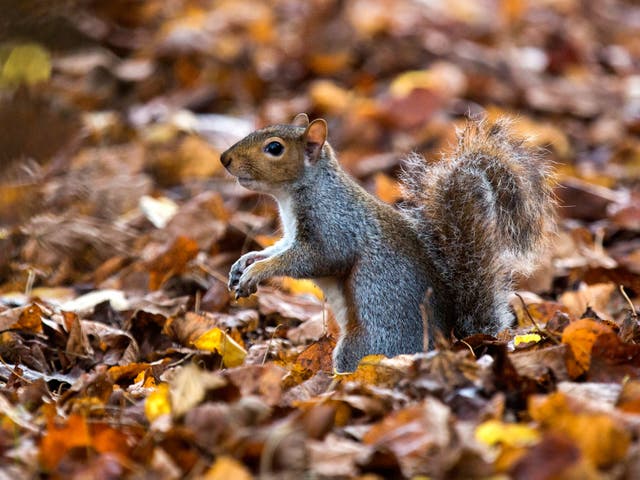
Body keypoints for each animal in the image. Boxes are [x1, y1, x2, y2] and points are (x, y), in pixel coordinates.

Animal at [220, 114, 556, 374]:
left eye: (274, 148)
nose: (225, 159)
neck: (297, 193)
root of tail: (453, 343)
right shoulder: (291, 236)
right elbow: (277, 250)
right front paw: (246, 263)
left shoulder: (335, 226)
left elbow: (316, 258)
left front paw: (258, 271)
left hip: (366, 345)